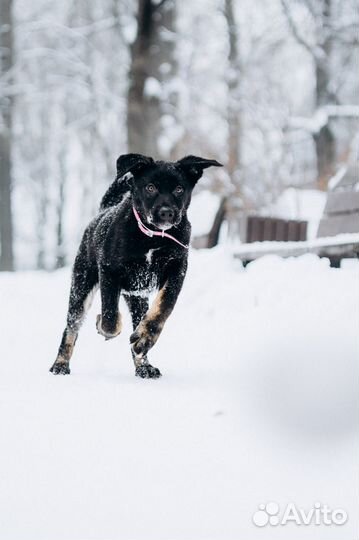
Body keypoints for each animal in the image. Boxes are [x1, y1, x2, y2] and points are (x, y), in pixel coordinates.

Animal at [48, 154, 221, 378]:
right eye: (150, 187)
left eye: (179, 189)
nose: (166, 213)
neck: (152, 238)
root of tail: (103, 211)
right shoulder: (109, 270)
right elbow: (109, 316)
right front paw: (103, 325)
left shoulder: (177, 270)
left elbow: (163, 307)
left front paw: (145, 338)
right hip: (82, 285)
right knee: (72, 325)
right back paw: (60, 364)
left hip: (138, 297)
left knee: (140, 321)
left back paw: (144, 365)